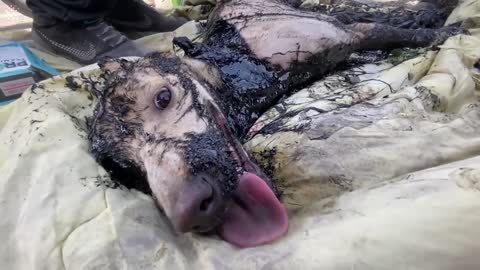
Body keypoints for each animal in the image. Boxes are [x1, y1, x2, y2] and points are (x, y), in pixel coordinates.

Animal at [87, 0, 464, 248]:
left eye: (163, 97)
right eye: (125, 170)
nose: (190, 215)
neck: (231, 68)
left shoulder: (349, 34)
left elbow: (393, 31)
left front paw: (442, 29)